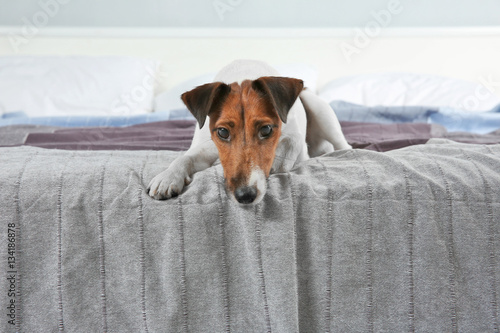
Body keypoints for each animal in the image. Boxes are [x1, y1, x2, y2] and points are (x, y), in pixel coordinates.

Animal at [148, 60, 352, 204]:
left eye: (266, 129)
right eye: (222, 132)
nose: (245, 195)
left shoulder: (294, 137)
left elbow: (288, 147)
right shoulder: (206, 146)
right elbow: (184, 158)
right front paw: (167, 177)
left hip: (320, 110)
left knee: (344, 145)